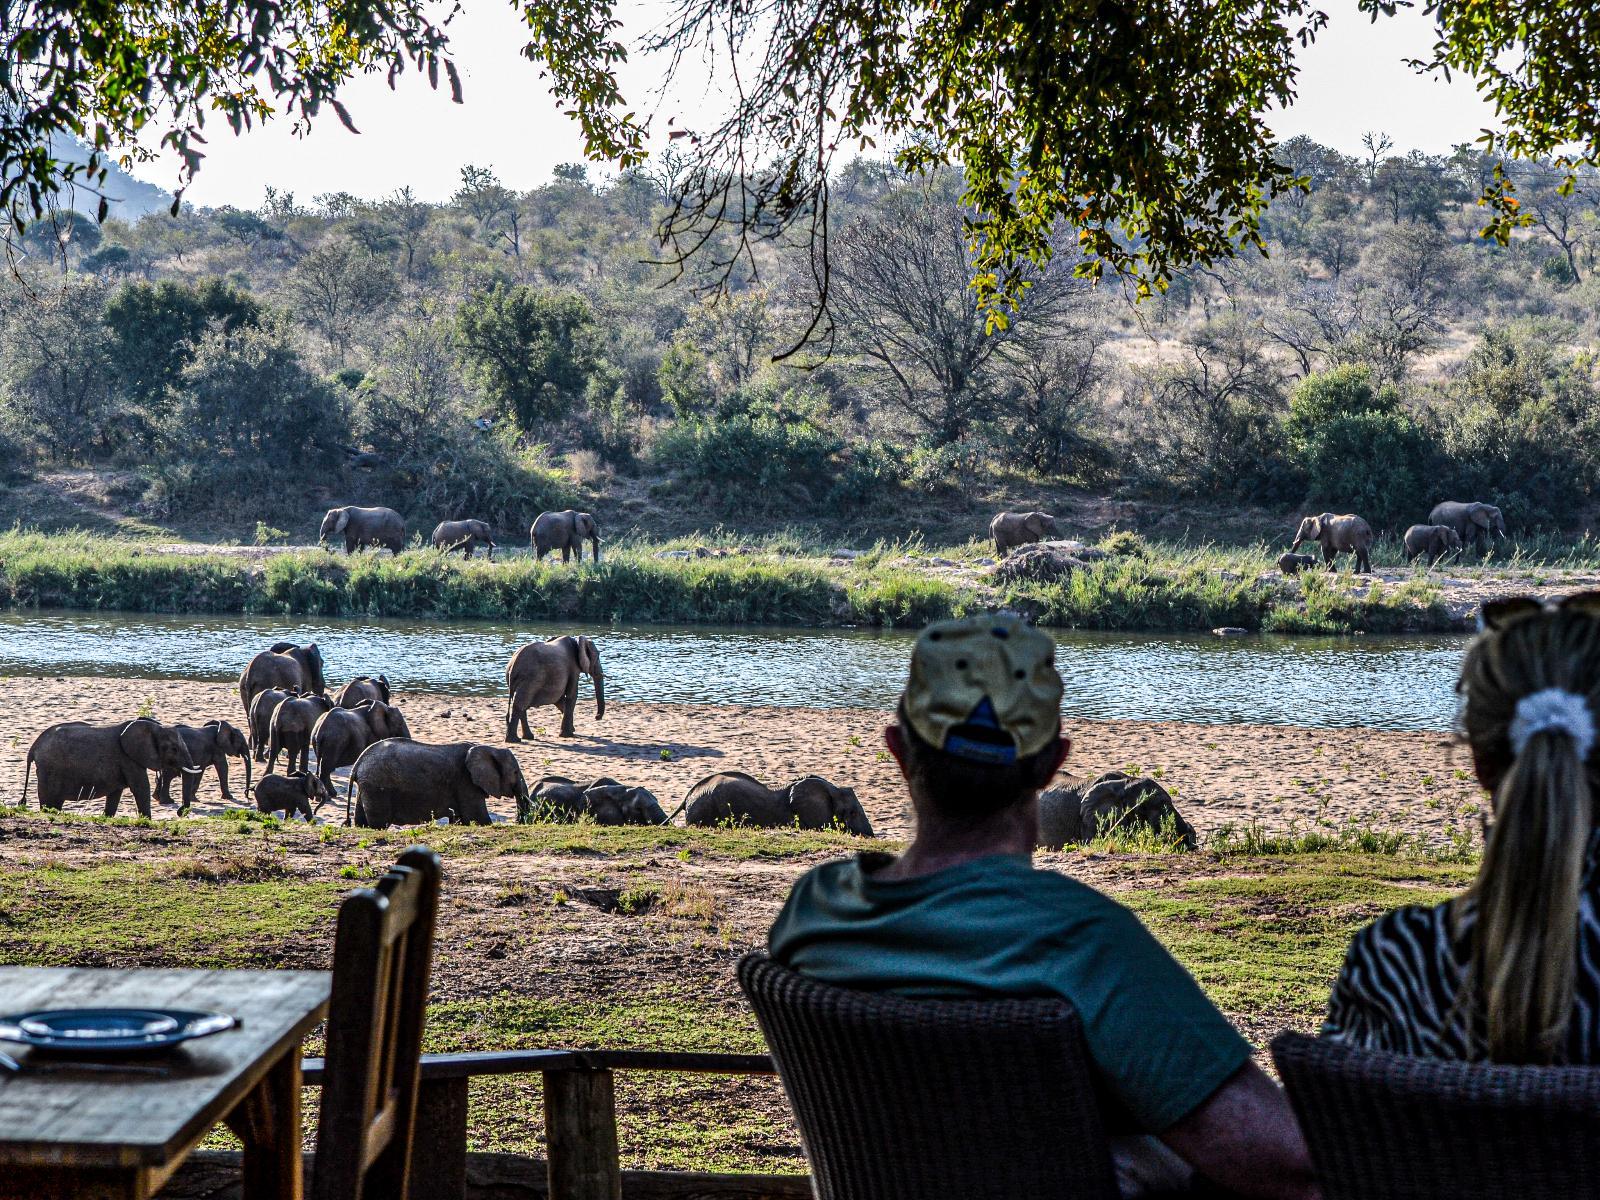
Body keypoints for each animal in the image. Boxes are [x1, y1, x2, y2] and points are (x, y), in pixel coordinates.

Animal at [21, 718, 201, 819]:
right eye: (174, 749)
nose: (179, 812)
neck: (154, 727)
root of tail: (33, 748)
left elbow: (115, 793)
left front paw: (107, 818)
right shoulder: (128, 758)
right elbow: (141, 787)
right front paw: (147, 821)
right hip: (49, 770)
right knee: (49, 801)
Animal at [346, 739, 527, 828]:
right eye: (515, 772)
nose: (519, 821)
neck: (488, 748)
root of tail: (357, 765)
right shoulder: (465, 782)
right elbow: (479, 819)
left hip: (367, 787)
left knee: (362, 822)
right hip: (377, 788)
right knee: (379, 824)